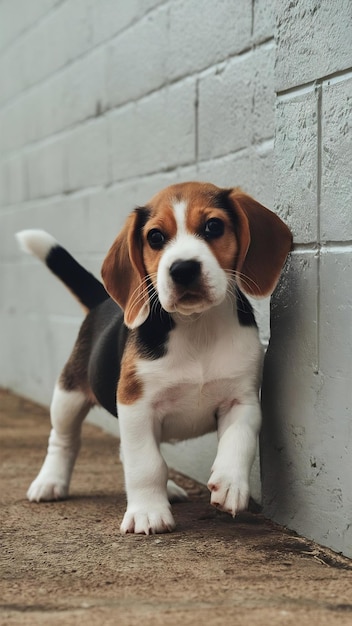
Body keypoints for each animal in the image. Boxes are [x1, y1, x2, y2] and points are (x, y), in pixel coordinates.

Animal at [16, 179, 292, 532]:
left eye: (214, 226)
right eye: (155, 237)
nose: (183, 268)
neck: (197, 326)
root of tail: (101, 301)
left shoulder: (242, 400)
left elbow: (238, 441)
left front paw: (231, 484)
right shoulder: (135, 404)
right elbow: (146, 464)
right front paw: (147, 511)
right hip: (69, 394)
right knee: (64, 439)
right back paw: (50, 482)